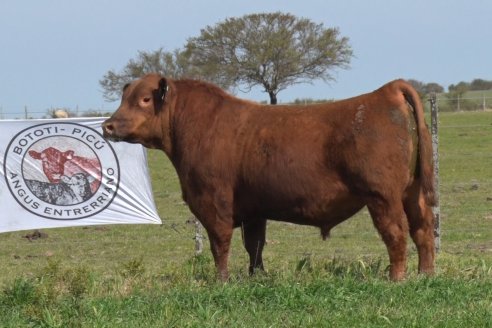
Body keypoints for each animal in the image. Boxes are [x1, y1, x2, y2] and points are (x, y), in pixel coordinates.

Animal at [103, 74, 434, 282]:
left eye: (145, 99)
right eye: (126, 97)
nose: (108, 126)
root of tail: (386, 91)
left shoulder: (213, 201)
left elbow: (220, 244)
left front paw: (221, 281)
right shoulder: (253, 209)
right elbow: (255, 246)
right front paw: (256, 277)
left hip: (383, 197)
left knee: (396, 233)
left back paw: (396, 278)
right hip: (413, 192)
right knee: (424, 230)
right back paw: (425, 274)